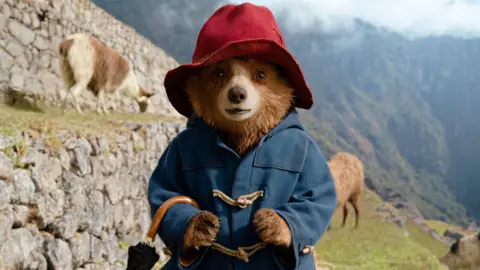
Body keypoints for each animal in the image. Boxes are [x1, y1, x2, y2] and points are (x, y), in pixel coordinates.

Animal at [146, 2, 338, 270]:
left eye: (261, 73)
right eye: (218, 73)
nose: (237, 94)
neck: (241, 135)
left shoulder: (308, 150)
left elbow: (315, 193)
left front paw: (271, 223)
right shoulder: (177, 150)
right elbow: (167, 188)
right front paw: (202, 226)